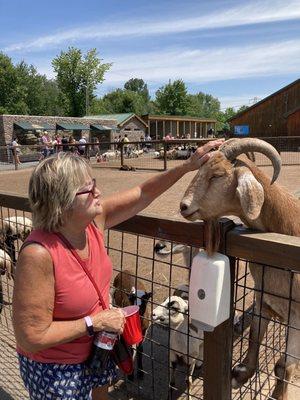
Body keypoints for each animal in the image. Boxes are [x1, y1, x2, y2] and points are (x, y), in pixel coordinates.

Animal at [179, 138, 298, 400]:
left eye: (217, 174)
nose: (183, 206)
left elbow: (284, 365)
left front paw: (278, 394)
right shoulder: (263, 299)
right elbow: (254, 339)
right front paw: (240, 375)